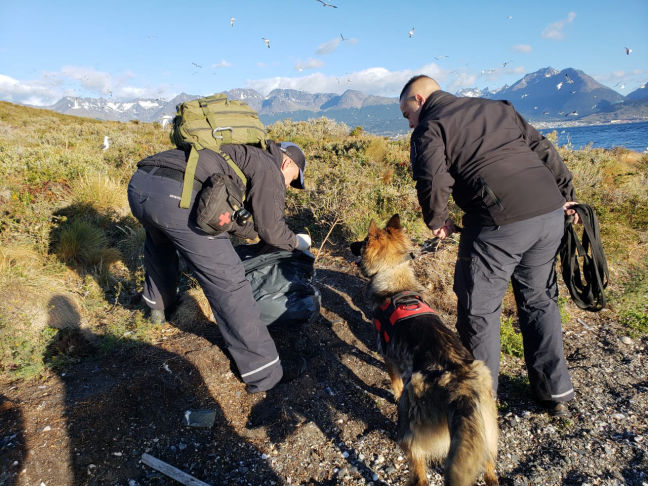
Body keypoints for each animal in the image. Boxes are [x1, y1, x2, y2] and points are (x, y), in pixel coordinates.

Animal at [352, 215, 498, 484]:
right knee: (490, 471)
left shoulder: (389, 356)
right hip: (484, 441)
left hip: (411, 435)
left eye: (363, 242)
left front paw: (394, 393)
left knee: (420, 475)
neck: (394, 279)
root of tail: (461, 388)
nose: (350, 245)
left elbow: (394, 382)